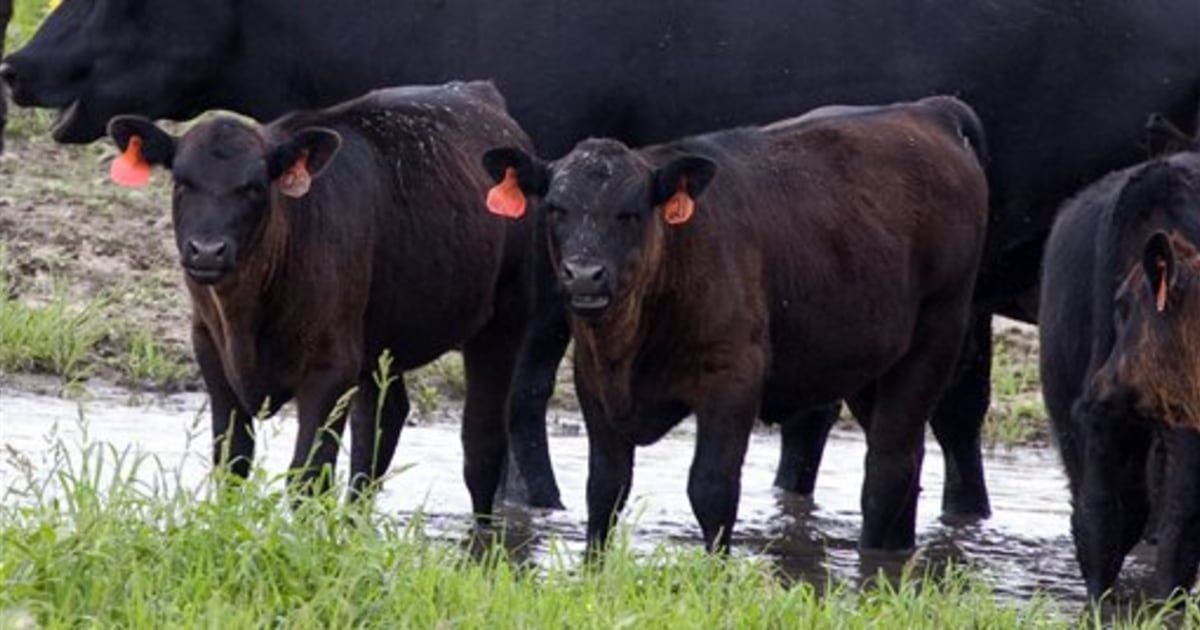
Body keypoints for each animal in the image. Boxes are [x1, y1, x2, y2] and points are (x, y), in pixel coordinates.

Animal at [104, 81, 535, 516]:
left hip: (506, 318)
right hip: (380, 341)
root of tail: (477, 91)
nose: (207, 251)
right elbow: (232, 467)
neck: (246, 317)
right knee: (379, 427)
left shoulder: (331, 368)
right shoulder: (211, 351)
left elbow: (307, 478)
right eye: (181, 182)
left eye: (254, 186)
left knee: (481, 444)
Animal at [482, 94, 988, 549]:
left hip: (935, 334)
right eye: (555, 208)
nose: (584, 273)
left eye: (631, 212)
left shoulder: (733, 378)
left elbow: (711, 488)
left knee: (889, 465)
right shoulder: (593, 381)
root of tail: (930, 111)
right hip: (871, 365)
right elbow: (605, 487)